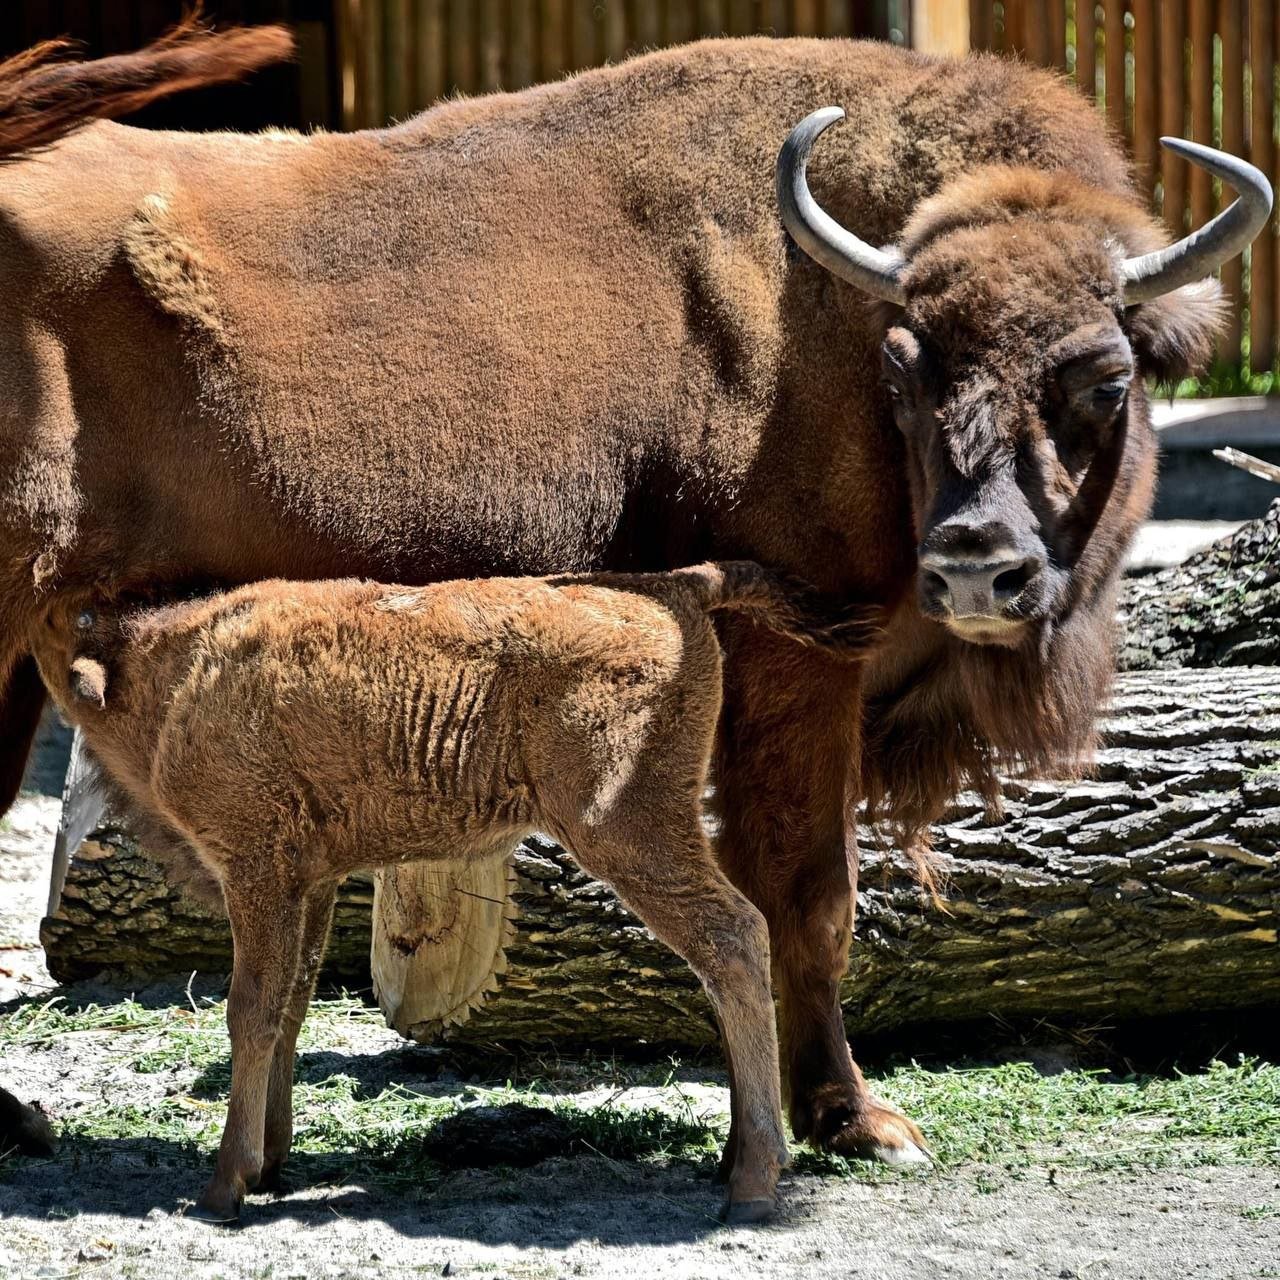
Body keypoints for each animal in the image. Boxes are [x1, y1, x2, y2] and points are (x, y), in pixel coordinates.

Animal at [32, 563, 890, 1218]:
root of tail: (677, 584)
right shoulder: (310, 881)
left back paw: (751, 1185)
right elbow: (289, 1008)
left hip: (628, 829)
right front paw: (270, 1163)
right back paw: (736, 1161)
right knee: (731, 950)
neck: (179, 672)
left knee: (734, 937)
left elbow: (250, 1011)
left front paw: (221, 1188)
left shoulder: (258, 873)